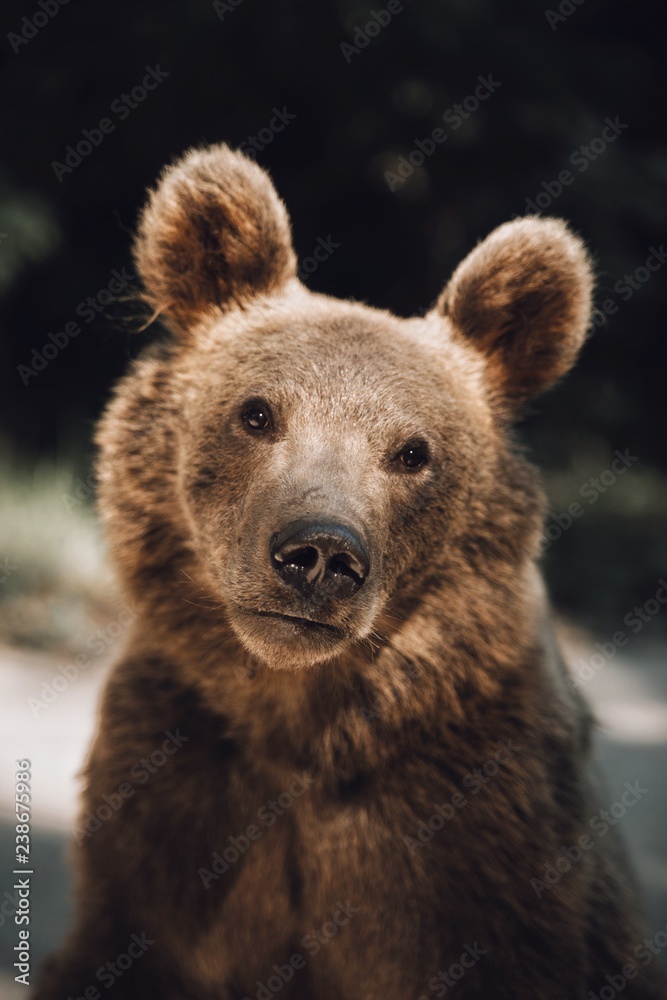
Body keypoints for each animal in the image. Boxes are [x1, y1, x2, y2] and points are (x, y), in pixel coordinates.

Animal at [34, 144, 665, 1000]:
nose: (320, 554)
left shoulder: (488, 844)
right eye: (257, 412)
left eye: (413, 451)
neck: (300, 718)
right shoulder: (170, 799)